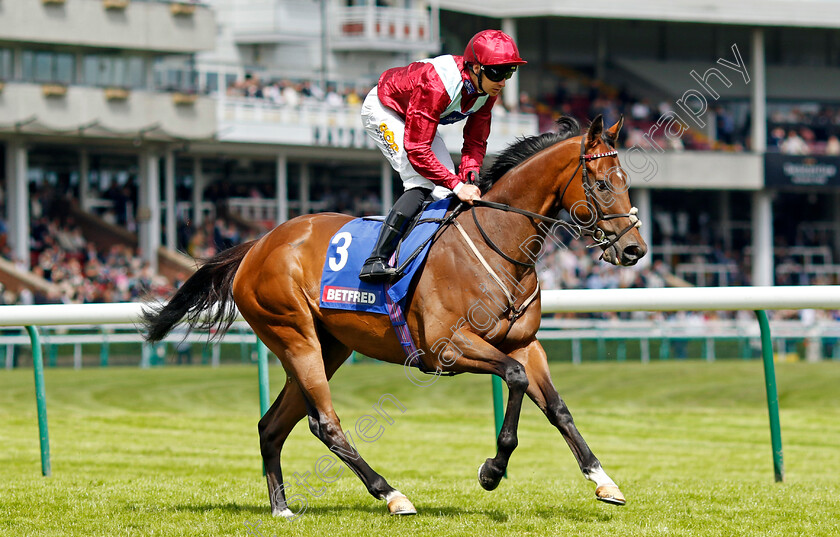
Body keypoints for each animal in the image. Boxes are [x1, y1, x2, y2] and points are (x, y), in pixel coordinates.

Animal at [143, 115, 644, 516]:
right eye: (602, 184)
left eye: (625, 182)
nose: (635, 249)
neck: (498, 241)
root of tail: (256, 245)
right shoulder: (447, 347)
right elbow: (516, 379)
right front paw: (491, 470)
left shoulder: (523, 342)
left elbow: (557, 408)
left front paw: (603, 481)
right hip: (293, 335)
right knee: (325, 423)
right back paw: (391, 494)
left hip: (329, 346)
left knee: (272, 426)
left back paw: (282, 507)